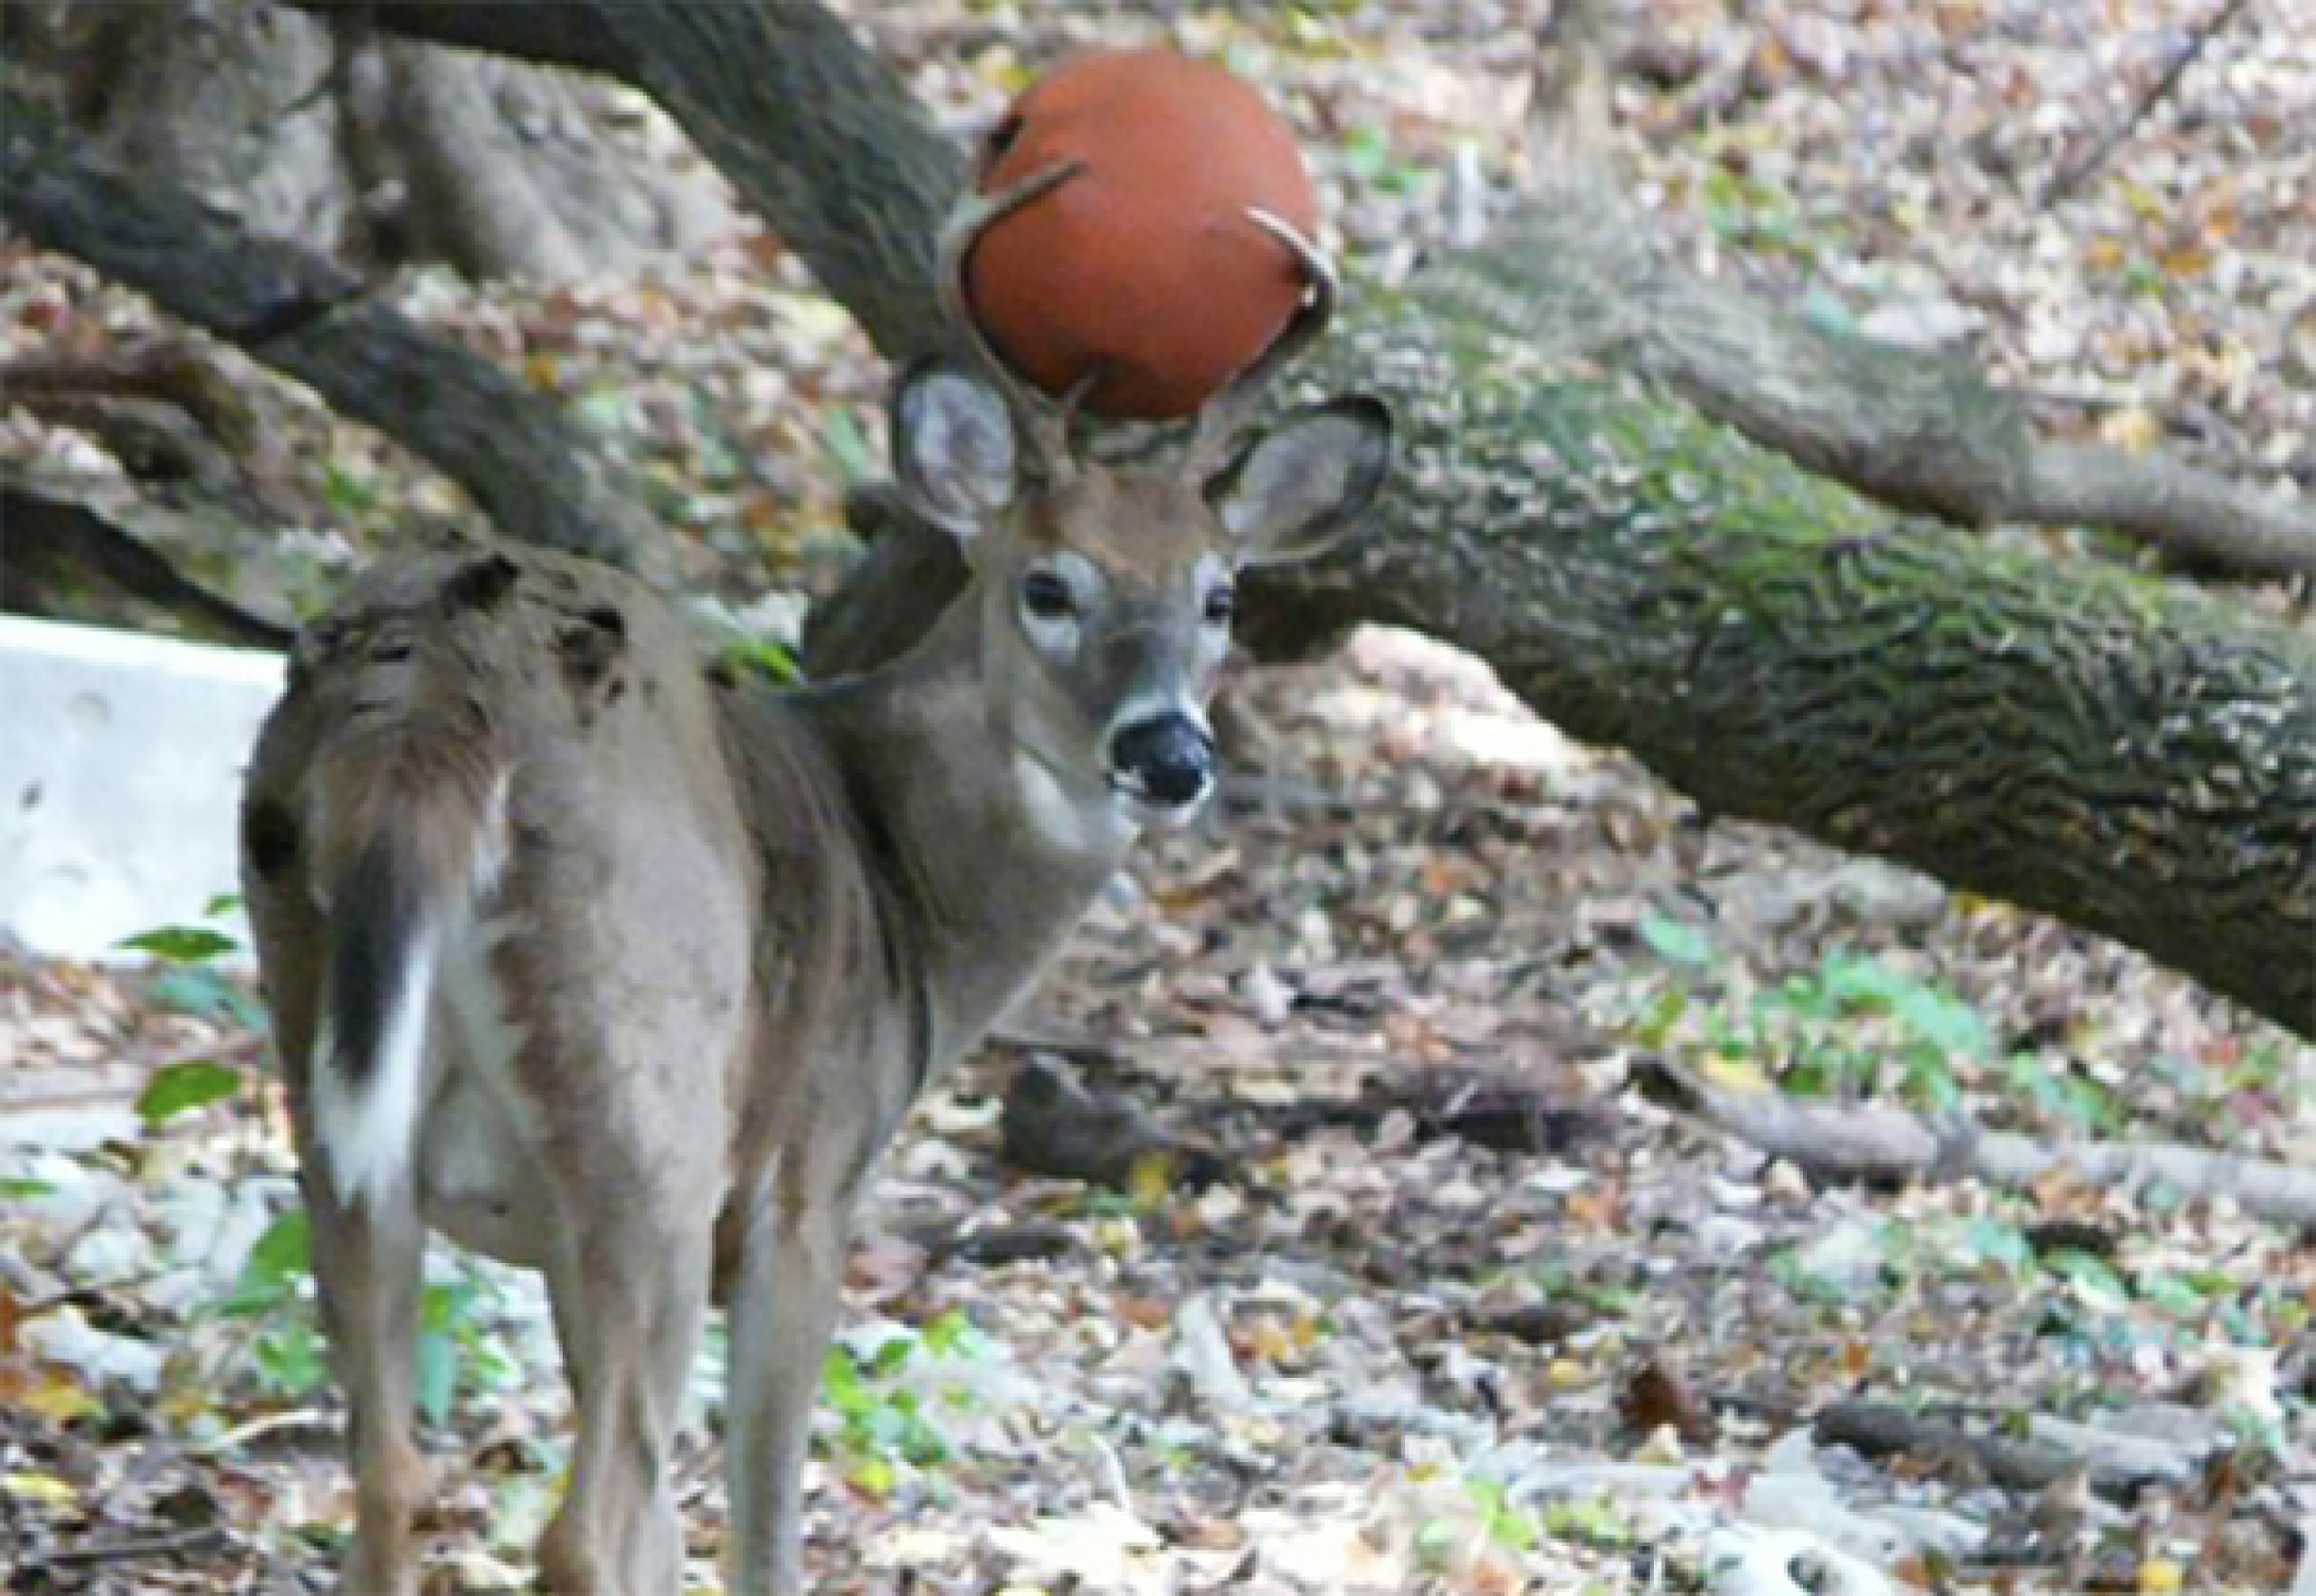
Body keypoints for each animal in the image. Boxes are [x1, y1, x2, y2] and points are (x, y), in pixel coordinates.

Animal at [234, 149, 1390, 1593]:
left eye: (1220, 596)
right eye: (1047, 586)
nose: (1167, 751)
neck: (900, 871)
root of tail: (437, 701)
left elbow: (665, 1533)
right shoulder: (808, 1178)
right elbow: (753, 1526)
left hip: (333, 1098)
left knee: (394, 1478)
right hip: (651, 1120)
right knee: (579, 1526)